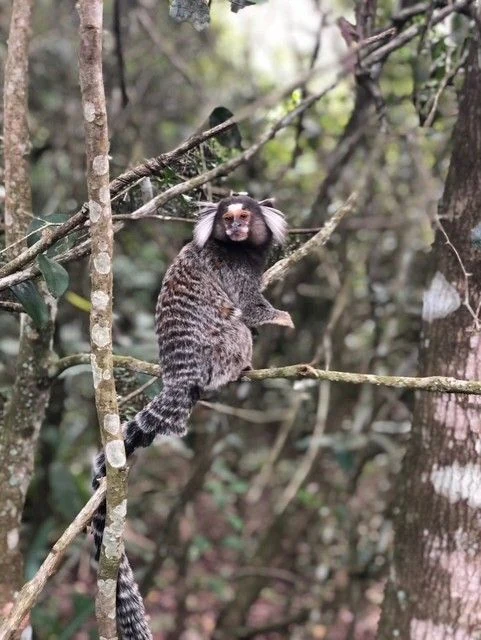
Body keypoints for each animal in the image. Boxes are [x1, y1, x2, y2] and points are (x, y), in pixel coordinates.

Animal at [91, 194, 294, 640]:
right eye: (228, 219)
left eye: (244, 216)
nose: (236, 227)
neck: (235, 248)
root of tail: (179, 374)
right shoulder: (233, 271)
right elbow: (250, 308)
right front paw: (280, 317)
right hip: (220, 350)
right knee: (237, 327)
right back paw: (240, 367)